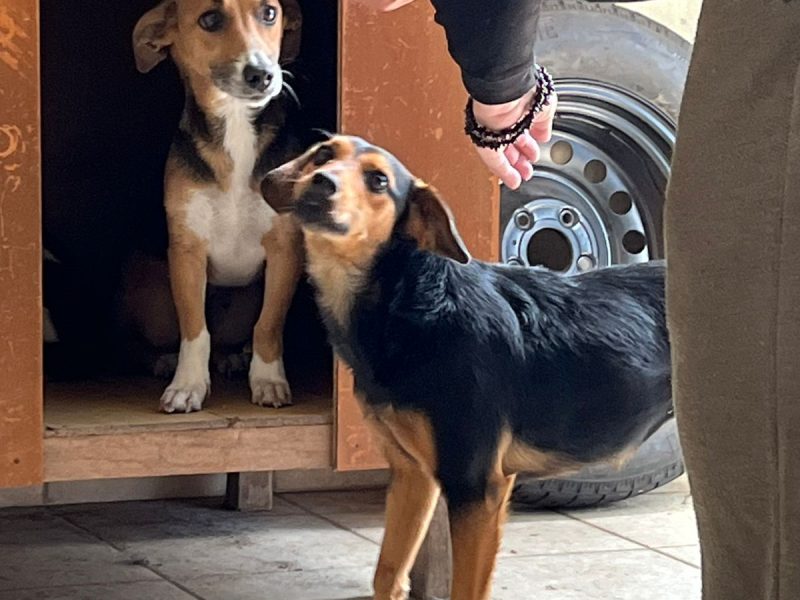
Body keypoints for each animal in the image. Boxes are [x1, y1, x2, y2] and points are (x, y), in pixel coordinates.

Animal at [133, 0, 304, 412]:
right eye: (209, 19)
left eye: (270, 13)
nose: (263, 75)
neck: (235, 126)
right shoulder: (187, 252)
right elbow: (195, 328)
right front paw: (188, 385)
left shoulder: (285, 251)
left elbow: (268, 325)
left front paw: (268, 380)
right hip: (154, 301)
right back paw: (163, 361)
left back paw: (233, 357)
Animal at [264, 135, 676, 600]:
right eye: (323, 155)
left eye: (378, 181)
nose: (322, 182)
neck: (409, 302)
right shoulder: (413, 476)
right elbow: (388, 573)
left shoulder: (477, 487)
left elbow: (465, 588)